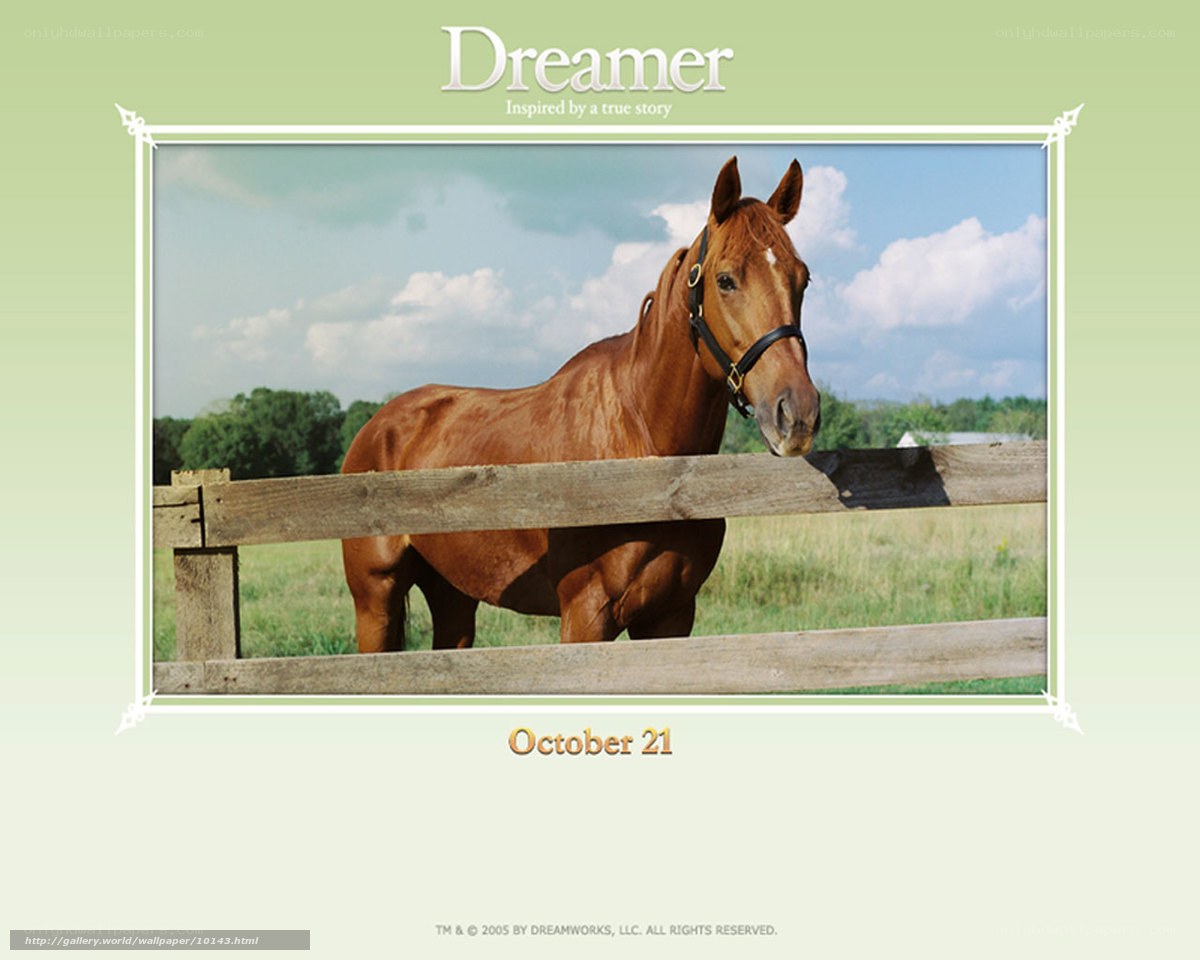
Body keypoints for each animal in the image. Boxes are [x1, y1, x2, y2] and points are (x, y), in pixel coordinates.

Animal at [341, 157, 821, 652]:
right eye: (725, 280)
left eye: (802, 279)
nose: (796, 413)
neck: (644, 452)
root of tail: (378, 426)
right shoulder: (586, 615)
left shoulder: (670, 617)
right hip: (376, 599)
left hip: (453, 594)